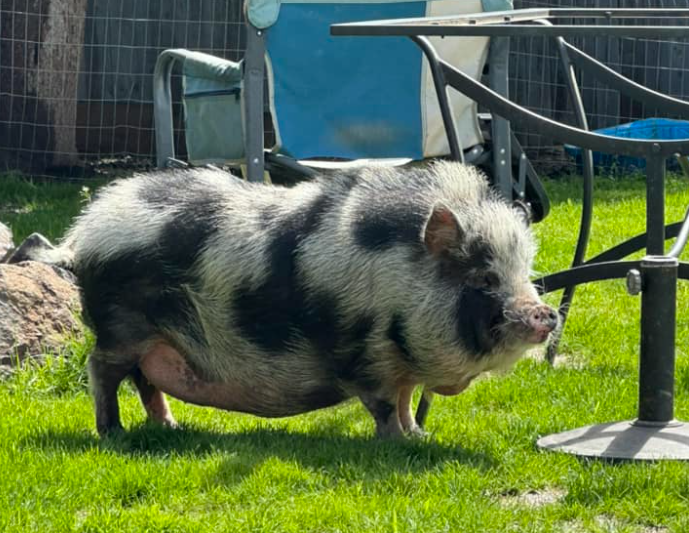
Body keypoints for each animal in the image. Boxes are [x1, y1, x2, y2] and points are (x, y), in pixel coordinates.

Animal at [35, 162, 556, 436]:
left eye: (524, 274)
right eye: (484, 277)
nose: (546, 314)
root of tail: (82, 234)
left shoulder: (401, 364)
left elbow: (407, 398)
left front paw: (420, 435)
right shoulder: (367, 355)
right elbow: (385, 404)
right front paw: (399, 443)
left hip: (156, 339)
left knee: (145, 379)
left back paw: (170, 428)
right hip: (122, 327)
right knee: (103, 370)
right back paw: (114, 434)